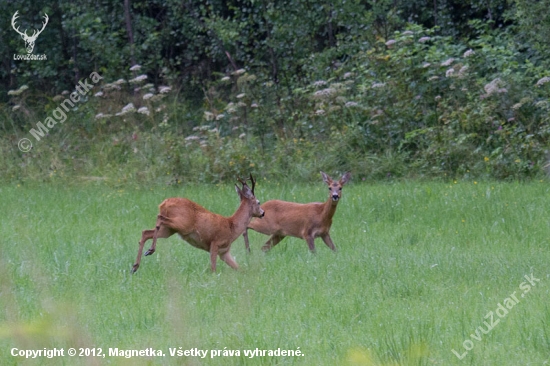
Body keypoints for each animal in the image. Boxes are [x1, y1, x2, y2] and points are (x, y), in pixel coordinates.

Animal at [132, 176, 266, 274]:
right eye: (258, 202)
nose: (263, 213)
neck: (232, 227)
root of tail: (164, 203)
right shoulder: (215, 243)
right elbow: (213, 268)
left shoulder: (224, 252)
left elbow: (240, 268)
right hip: (182, 223)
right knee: (159, 218)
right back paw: (150, 250)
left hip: (169, 230)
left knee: (146, 232)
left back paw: (135, 266)